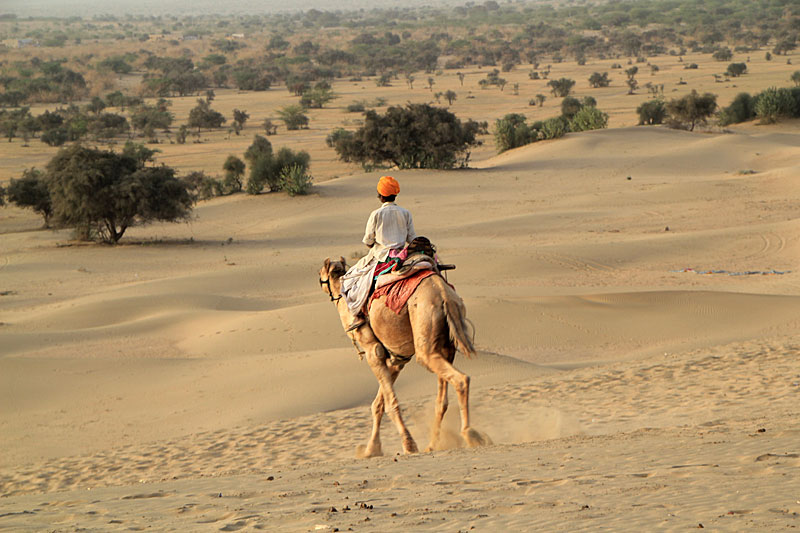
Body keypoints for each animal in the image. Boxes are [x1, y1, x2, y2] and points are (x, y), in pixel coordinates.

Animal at [318, 256, 482, 456]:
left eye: (320, 273)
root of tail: (444, 294)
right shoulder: (398, 358)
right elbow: (378, 404)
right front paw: (371, 449)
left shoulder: (373, 350)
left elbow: (390, 402)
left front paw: (408, 444)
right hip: (446, 345)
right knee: (442, 399)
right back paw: (432, 444)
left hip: (424, 337)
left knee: (460, 379)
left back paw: (470, 434)